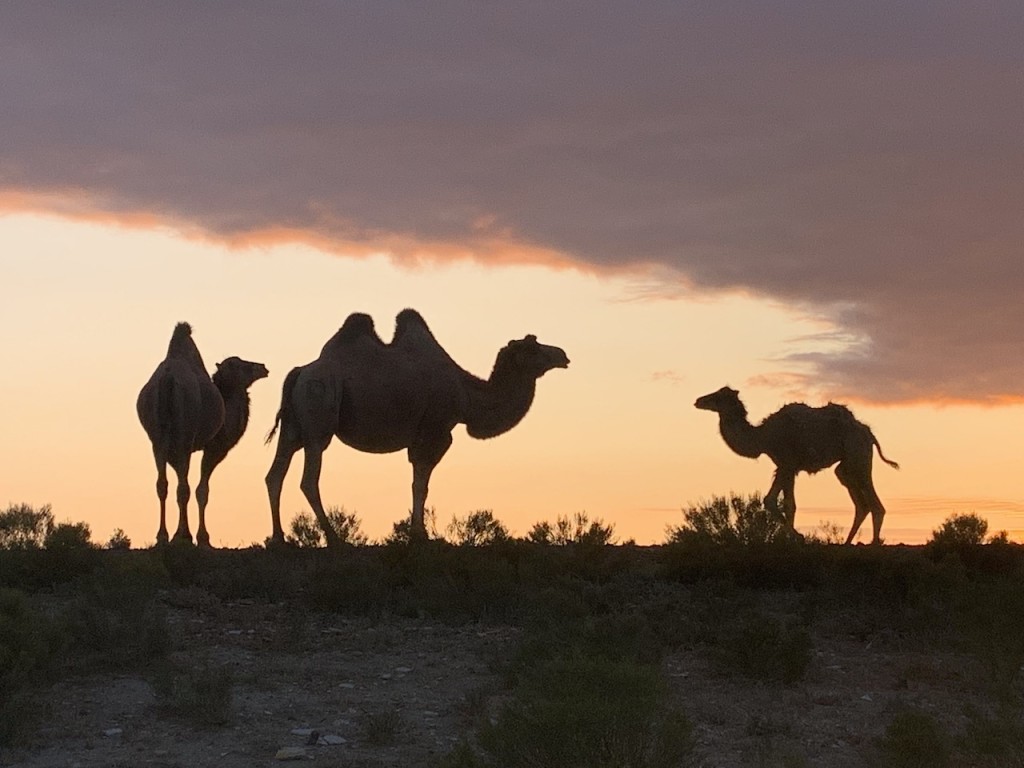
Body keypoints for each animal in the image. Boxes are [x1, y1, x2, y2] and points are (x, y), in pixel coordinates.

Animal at [138, 325, 270, 548]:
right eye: (241, 365)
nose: (263, 367)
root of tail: (166, 380)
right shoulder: (213, 448)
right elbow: (202, 490)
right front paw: (202, 538)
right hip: (184, 434)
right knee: (184, 488)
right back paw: (183, 537)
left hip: (157, 439)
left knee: (162, 484)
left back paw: (162, 537)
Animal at [262, 309, 569, 548]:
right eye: (532, 347)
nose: (563, 354)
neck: (466, 395)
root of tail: (299, 373)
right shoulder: (435, 430)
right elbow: (421, 484)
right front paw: (420, 535)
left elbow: (418, 482)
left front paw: (416, 532)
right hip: (318, 416)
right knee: (308, 479)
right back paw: (335, 538)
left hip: (293, 429)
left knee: (275, 475)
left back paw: (279, 538)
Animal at [692, 387, 901, 544]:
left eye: (718, 396)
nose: (698, 400)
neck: (763, 437)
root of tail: (868, 433)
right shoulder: (786, 467)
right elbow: (784, 503)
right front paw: (793, 537)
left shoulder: (787, 463)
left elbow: (776, 501)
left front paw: (797, 537)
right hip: (845, 468)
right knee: (861, 504)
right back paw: (847, 543)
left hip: (858, 458)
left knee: (875, 503)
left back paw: (874, 543)